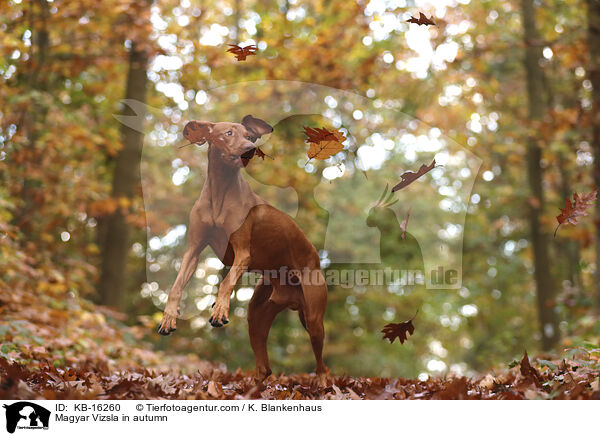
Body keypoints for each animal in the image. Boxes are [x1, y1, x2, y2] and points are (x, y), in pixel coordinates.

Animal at [159, 115, 328, 378]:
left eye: (249, 137)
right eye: (228, 133)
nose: (250, 149)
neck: (220, 191)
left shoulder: (243, 253)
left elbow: (226, 282)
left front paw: (219, 308)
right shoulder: (193, 250)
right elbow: (176, 286)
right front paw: (168, 316)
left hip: (313, 317)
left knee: (322, 365)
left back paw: (320, 381)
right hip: (256, 316)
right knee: (264, 367)